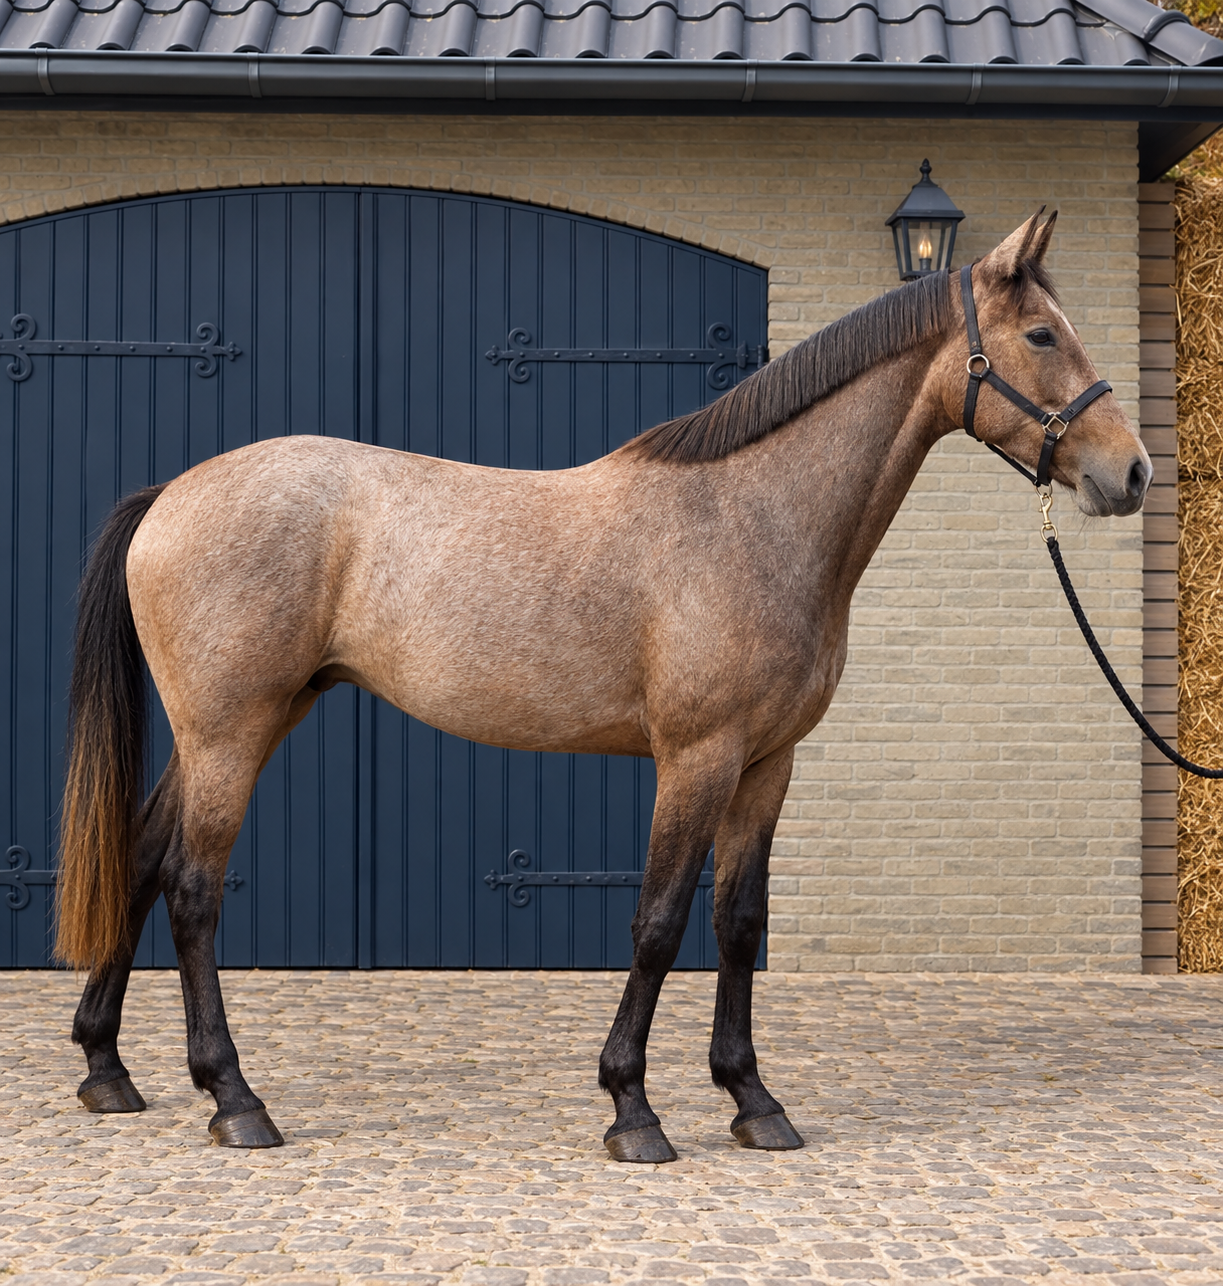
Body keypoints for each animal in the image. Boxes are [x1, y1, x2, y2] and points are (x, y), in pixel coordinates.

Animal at [54, 212, 1150, 1161]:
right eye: (1040, 334)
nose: (1130, 473)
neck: (750, 517)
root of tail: (172, 492)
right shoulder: (694, 758)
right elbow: (658, 924)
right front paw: (632, 1107)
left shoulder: (766, 765)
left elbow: (738, 923)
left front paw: (753, 1099)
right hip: (230, 731)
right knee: (193, 889)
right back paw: (234, 1098)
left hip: (242, 722)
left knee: (143, 859)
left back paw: (109, 1069)